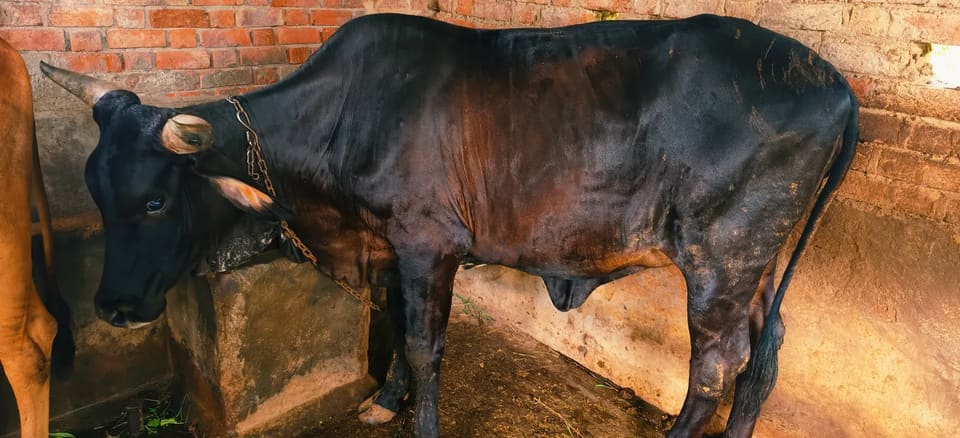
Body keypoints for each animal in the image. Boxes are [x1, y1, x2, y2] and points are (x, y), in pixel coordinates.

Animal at [41, 13, 858, 437]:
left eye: (154, 201)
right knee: (763, 352)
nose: (113, 307)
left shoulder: (428, 244)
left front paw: (419, 417)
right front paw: (383, 400)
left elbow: (426, 344)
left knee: (717, 363)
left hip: (721, 260)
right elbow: (393, 323)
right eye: (95, 189)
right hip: (755, 267)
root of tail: (833, 81)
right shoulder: (383, 247)